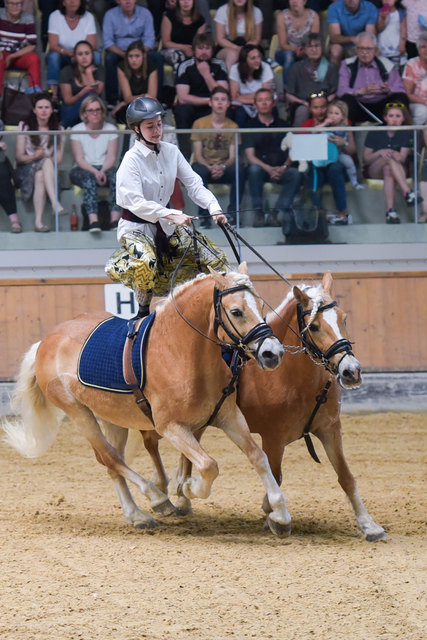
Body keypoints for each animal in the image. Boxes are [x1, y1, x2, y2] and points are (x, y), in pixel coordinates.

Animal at [2, 262, 294, 536]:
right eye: (236, 312)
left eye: (260, 305)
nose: (273, 353)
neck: (180, 351)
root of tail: (46, 341)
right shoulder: (171, 427)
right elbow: (209, 465)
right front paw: (188, 488)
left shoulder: (228, 417)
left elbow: (258, 456)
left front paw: (280, 514)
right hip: (79, 414)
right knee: (111, 458)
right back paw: (156, 500)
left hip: (113, 419)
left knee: (112, 463)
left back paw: (136, 515)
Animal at [135, 272, 388, 544]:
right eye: (315, 326)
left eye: (343, 318)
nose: (351, 371)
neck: (293, 377)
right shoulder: (273, 438)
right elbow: (275, 475)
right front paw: (273, 514)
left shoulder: (330, 429)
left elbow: (346, 477)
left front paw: (369, 525)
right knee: (151, 442)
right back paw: (164, 493)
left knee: (187, 453)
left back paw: (182, 494)